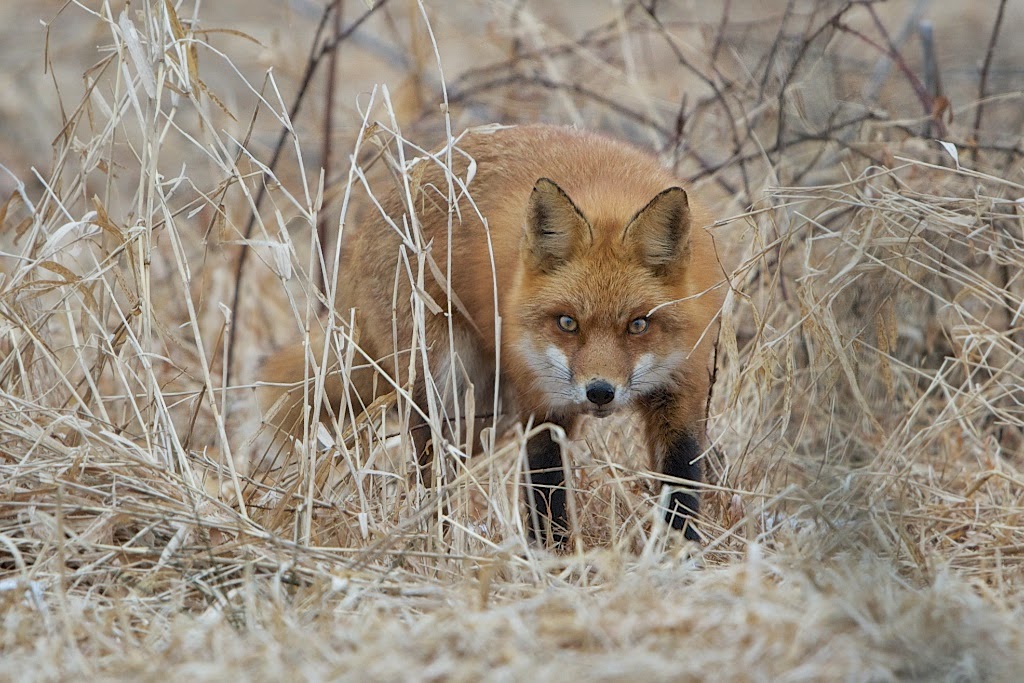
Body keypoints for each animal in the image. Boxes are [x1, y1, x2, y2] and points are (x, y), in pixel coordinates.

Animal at [259, 123, 727, 545]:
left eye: (638, 324)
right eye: (567, 323)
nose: (599, 392)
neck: (607, 193)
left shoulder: (682, 388)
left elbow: (682, 484)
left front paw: (678, 554)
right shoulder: (543, 402)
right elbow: (548, 496)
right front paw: (556, 561)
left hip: (486, 416)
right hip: (444, 388)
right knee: (430, 471)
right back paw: (440, 541)